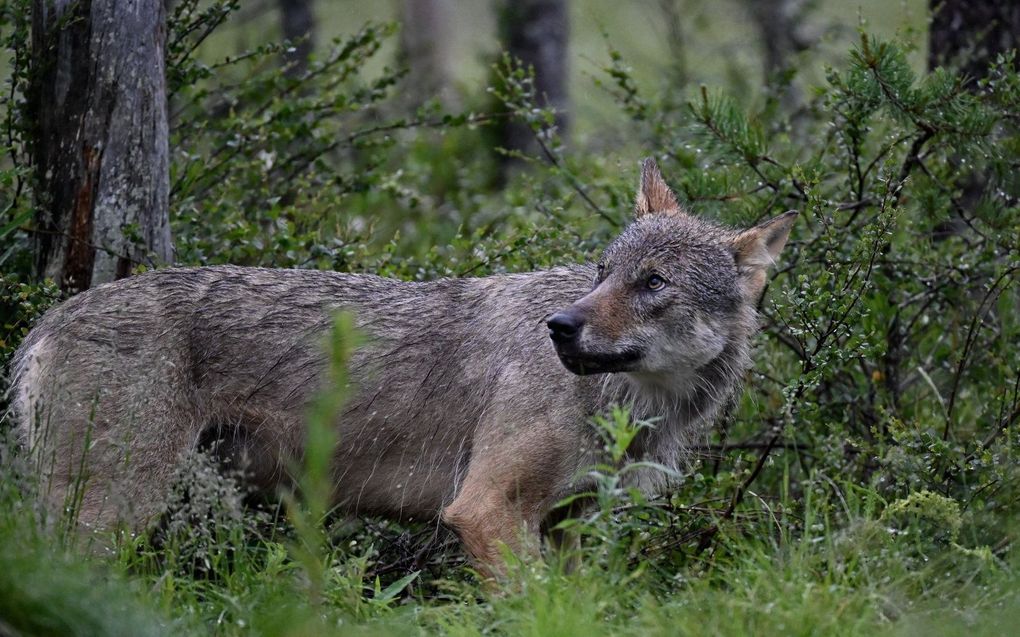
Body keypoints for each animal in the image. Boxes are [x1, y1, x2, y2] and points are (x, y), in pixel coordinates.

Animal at [5, 157, 795, 570]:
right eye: (603, 274)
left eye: (652, 283)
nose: (560, 327)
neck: (635, 409)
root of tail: (49, 318)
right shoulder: (486, 511)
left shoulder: (572, 526)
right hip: (107, 518)